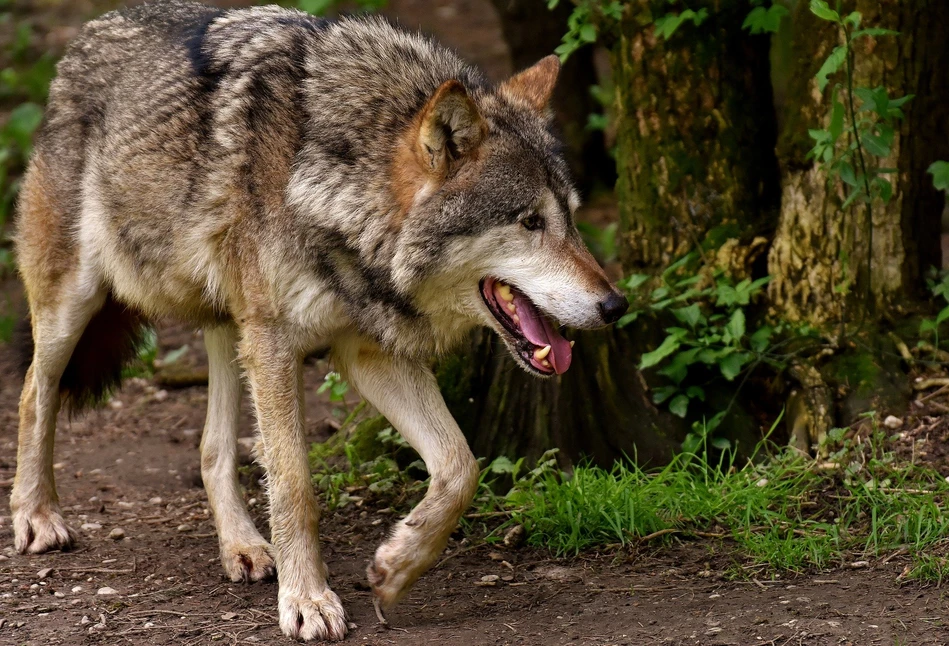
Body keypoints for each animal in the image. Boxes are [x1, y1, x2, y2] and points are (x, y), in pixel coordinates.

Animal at [11, 1, 628, 644]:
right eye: (530, 222)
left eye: (573, 219)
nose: (615, 305)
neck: (336, 189)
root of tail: (89, 33)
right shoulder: (278, 345)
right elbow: (294, 486)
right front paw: (306, 600)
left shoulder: (367, 353)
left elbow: (461, 467)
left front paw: (396, 567)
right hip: (77, 304)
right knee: (34, 391)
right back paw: (36, 516)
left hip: (230, 327)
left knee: (211, 447)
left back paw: (244, 547)